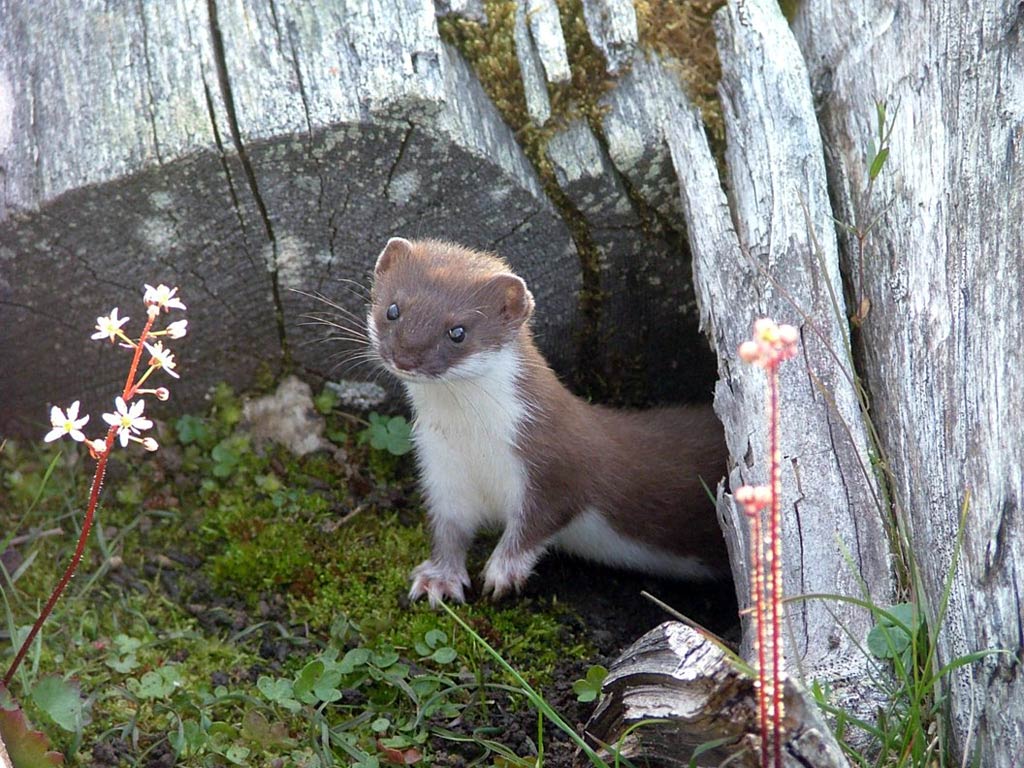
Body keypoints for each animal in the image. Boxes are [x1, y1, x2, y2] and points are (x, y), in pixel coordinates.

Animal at [366, 237, 729, 606]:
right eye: (393, 309)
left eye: (458, 331)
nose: (405, 357)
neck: (472, 443)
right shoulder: (442, 469)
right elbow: (449, 530)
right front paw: (438, 579)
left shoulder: (554, 458)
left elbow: (542, 518)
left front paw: (503, 572)